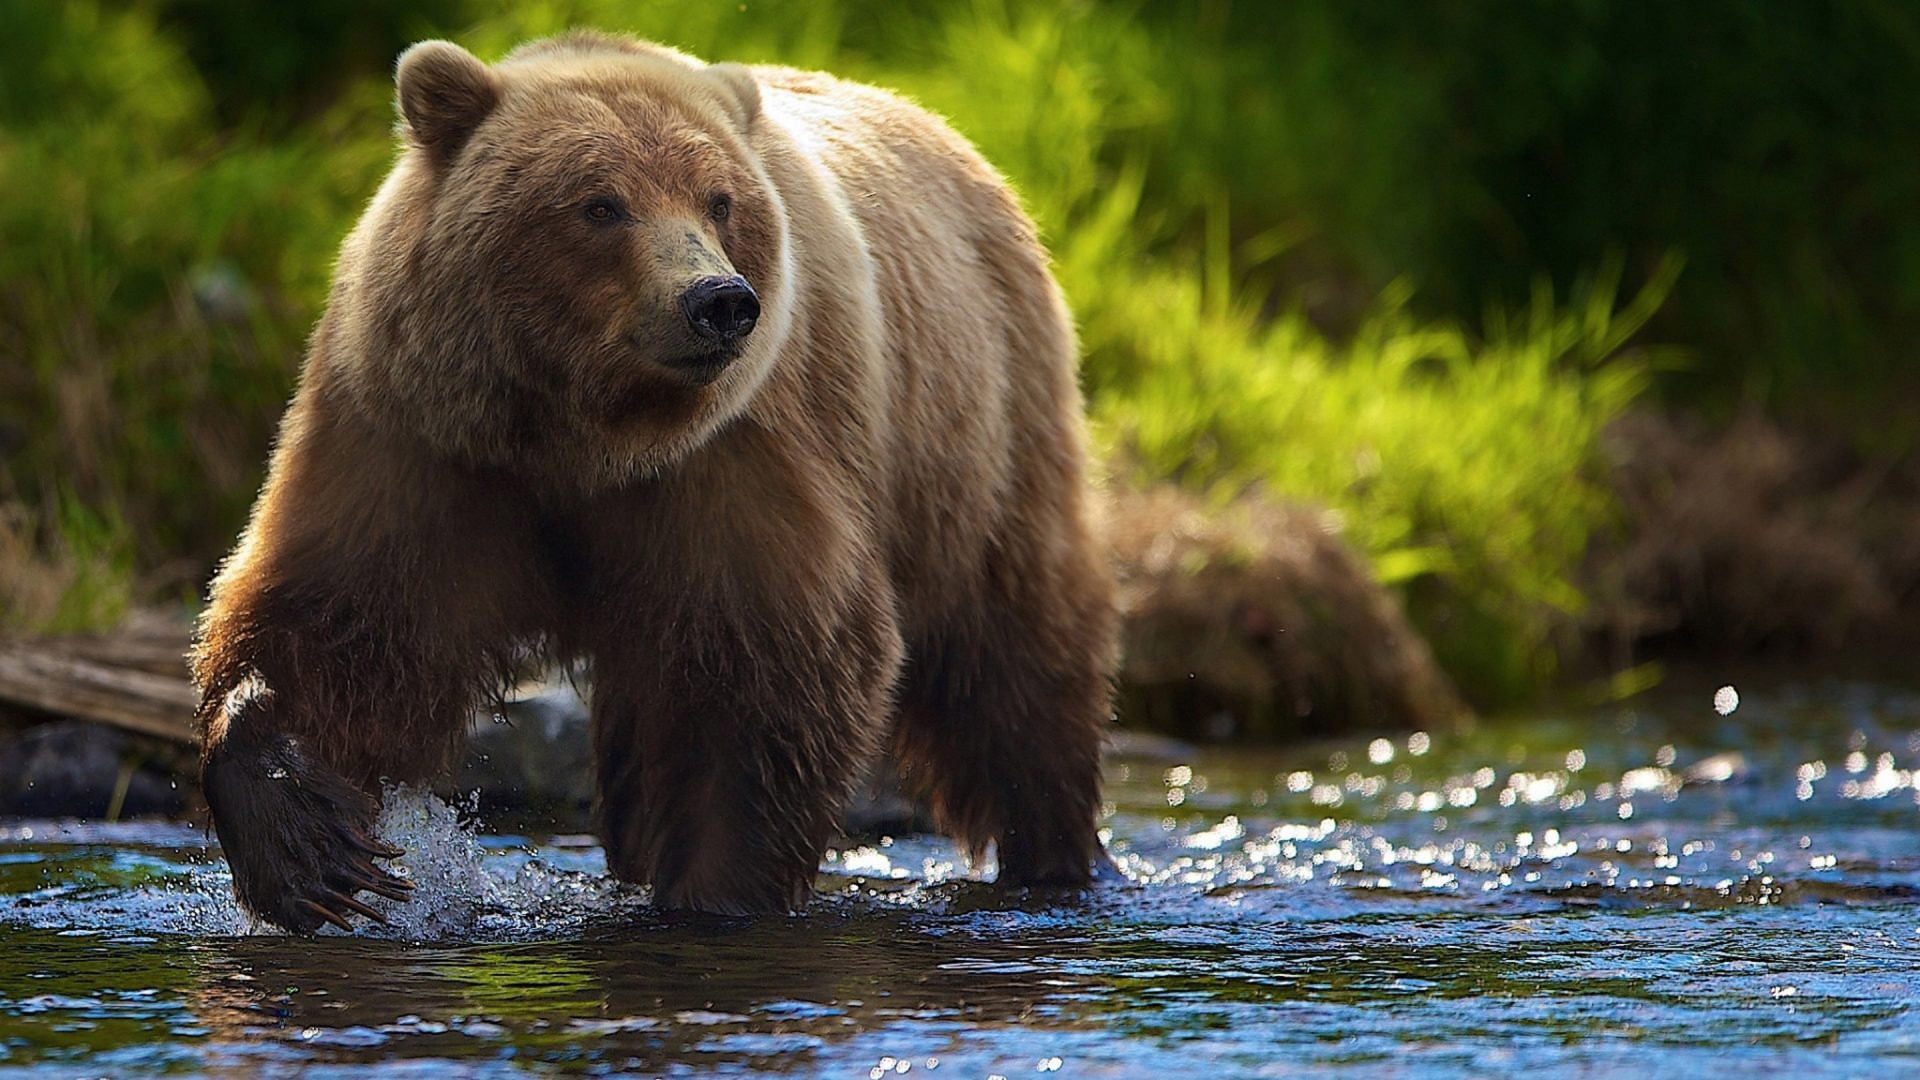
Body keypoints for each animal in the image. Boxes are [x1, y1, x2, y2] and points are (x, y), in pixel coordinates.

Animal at [190, 31, 1117, 933]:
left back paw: (1057, 856)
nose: (718, 301)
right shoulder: (428, 438)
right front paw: (308, 840)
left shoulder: (730, 456)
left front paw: (715, 892)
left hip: (981, 437)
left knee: (1016, 661)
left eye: (719, 200)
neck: (580, 435)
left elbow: (763, 674)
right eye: (600, 203)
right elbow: (346, 617)